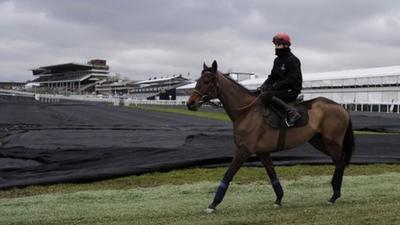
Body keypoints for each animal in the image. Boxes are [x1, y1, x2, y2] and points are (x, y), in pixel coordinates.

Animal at [186, 60, 354, 213]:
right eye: (198, 80)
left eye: (207, 81)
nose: (190, 103)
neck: (247, 112)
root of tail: (341, 107)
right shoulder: (262, 152)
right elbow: (272, 173)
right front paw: (279, 199)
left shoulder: (243, 150)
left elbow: (228, 174)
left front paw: (213, 204)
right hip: (319, 142)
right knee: (339, 162)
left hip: (332, 143)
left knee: (340, 162)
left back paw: (334, 195)